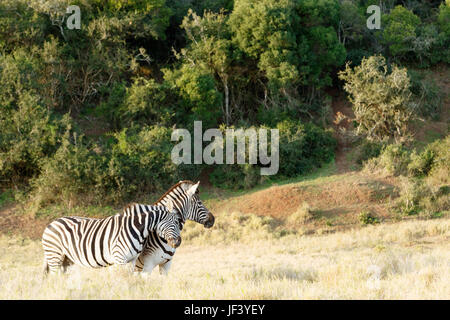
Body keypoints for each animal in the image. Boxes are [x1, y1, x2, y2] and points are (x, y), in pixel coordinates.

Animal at [42, 202, 182, 276]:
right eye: (175, 223)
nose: (179, 242)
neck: (137, 229)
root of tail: (51, 223)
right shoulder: (119, 258)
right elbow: (122, 279)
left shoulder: (131, 260)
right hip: (55, 255)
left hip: (66, 259)